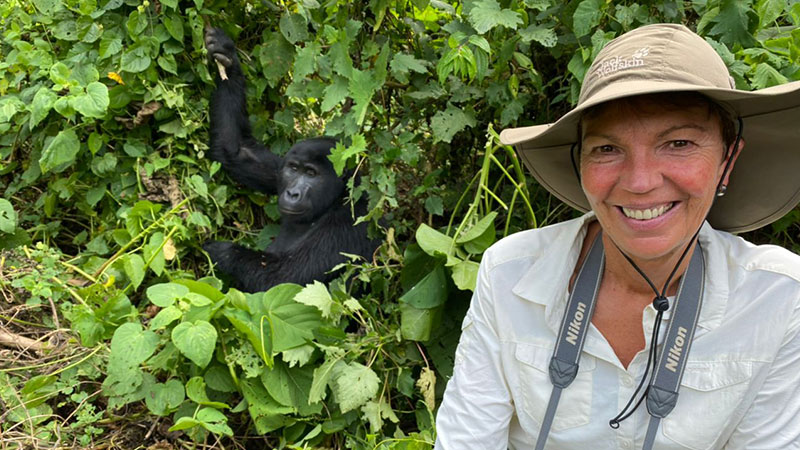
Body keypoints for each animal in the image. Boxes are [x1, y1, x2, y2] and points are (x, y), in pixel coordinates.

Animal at [200, 29, 376, 296]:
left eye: (312, 174)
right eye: (294, 169)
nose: (292, 193)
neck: (332, 201)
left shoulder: (350, 223)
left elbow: (284, 281)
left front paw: (220, 251)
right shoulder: (279, 167)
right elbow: (235, 149)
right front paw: (226, 56)